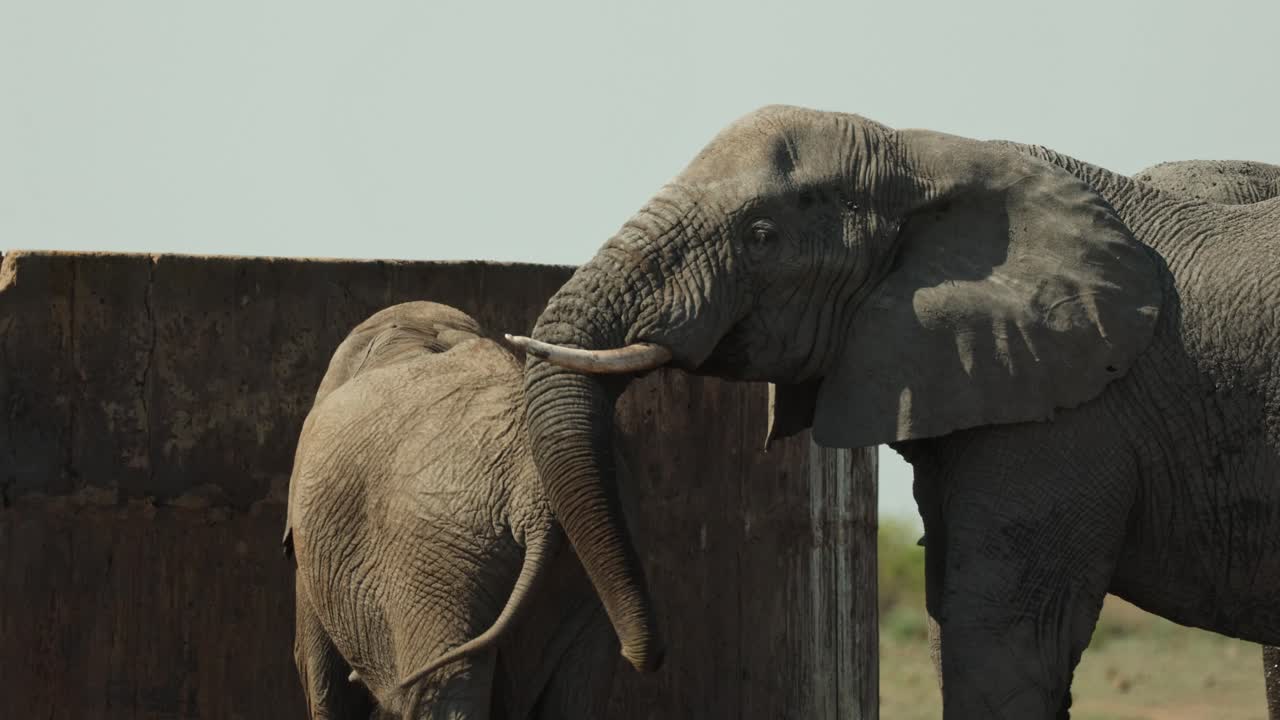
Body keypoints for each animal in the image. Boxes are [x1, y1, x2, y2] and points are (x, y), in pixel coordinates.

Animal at [503, 105, 1280, 718]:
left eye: (761, 236)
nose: (648, 654)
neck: (924, 154)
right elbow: (952, 622)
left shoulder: (1065, 417)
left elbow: (1003, 639)